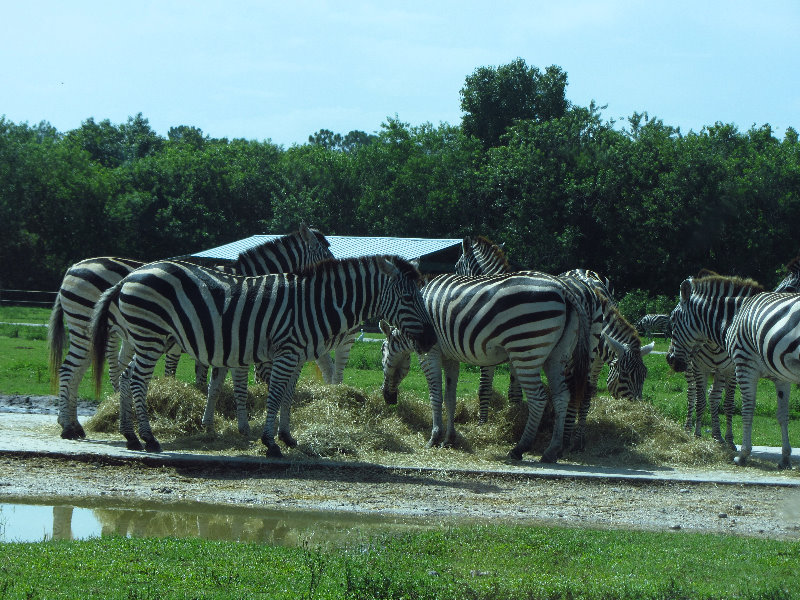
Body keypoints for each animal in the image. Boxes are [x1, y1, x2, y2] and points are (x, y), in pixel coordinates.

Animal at [47, 223, 334, 438]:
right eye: (326, 255)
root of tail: (73, 268)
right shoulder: (233, 336)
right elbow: (232, 382)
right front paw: (241, 426)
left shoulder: (225, 340)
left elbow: (213, 383)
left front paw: (209, 423)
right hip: (86, 325)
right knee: (69, 369)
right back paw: (69, 427)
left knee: (78, 370)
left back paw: (72, 424)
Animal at [90, 255, 434, 458]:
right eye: (408, 297)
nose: (430, 338)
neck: (314, 305)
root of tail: (129, 276)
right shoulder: (286, 351)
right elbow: (275, 394)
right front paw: (270, 443)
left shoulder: (297, 356)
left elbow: (288, 396)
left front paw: (288, 437)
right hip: (150, 336)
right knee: (136, 380)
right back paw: (149, 439)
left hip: (146, 336)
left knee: (125, 377)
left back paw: (130, 437)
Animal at [378, 270, 592, 462]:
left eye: (382, 352)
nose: (388, 398)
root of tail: (562, 288)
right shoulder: (450, 357)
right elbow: (450, 398)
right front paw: (449, 439)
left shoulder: (430, 353)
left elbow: (435, 396)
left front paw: (434, 438)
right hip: (556, 355)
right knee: (561, 396)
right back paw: (552, 451)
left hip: (525, 349)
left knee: (538, 398)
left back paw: (519, 449)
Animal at [668, 274, 800, 472]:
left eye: (673, 319)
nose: (670, 359)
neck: (734, 318)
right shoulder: (780, 377)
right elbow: (782, 415)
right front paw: (785, 458)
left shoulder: (744, 366)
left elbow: (746, 410)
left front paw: (743, 454)